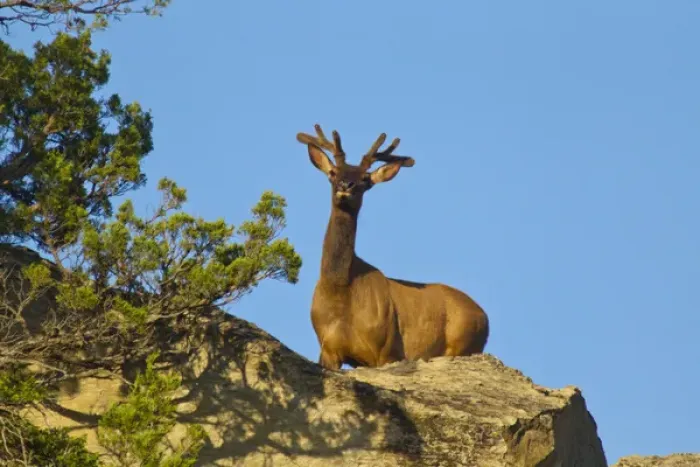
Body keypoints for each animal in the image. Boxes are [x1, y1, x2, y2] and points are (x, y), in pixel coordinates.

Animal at [297, 124, 490, 371]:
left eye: (365, 179)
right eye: (333, 172)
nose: (345, 186)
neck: (340, 291)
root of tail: (485, 317)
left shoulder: (386, 348)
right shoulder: (328, 349)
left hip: (464, 343)